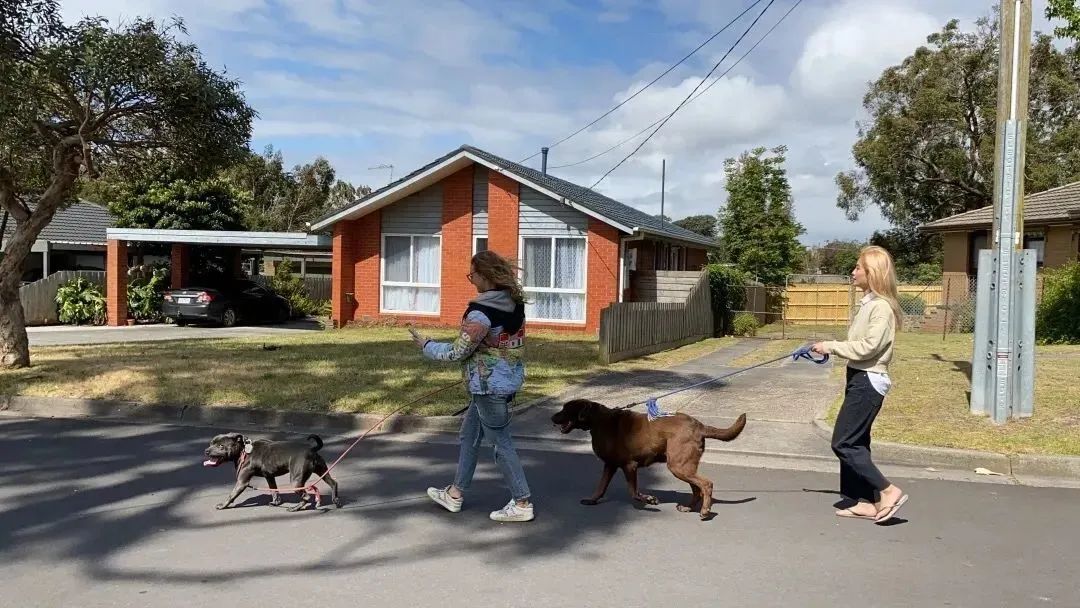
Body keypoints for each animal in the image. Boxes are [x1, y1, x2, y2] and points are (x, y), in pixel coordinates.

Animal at [200, 429, 339, 511]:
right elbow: (274, 490)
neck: (243, 451)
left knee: (305, 496)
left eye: (221, 446)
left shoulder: (241, 482)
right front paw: (276, 502)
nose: (206, 451)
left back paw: (295, 508)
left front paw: (223, 505)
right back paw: (335, 501)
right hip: (322, 471)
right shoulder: (269, 477)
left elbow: (231, 495)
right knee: (333, 483)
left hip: (296, 481)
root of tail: (311, 450)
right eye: (211, 443)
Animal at [552, 397, 747, 520]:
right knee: (697, 489)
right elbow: (600, 487)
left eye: (565, 409)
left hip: (678, 465)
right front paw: (592, 500)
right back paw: (688, 508)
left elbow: (633, 491)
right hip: (684, 466)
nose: (552, 417)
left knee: (706, 484)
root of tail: (700, 426)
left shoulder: (629, 465)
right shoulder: (610, 465)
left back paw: (705, 511)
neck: (598, 420)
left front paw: (649, 499)